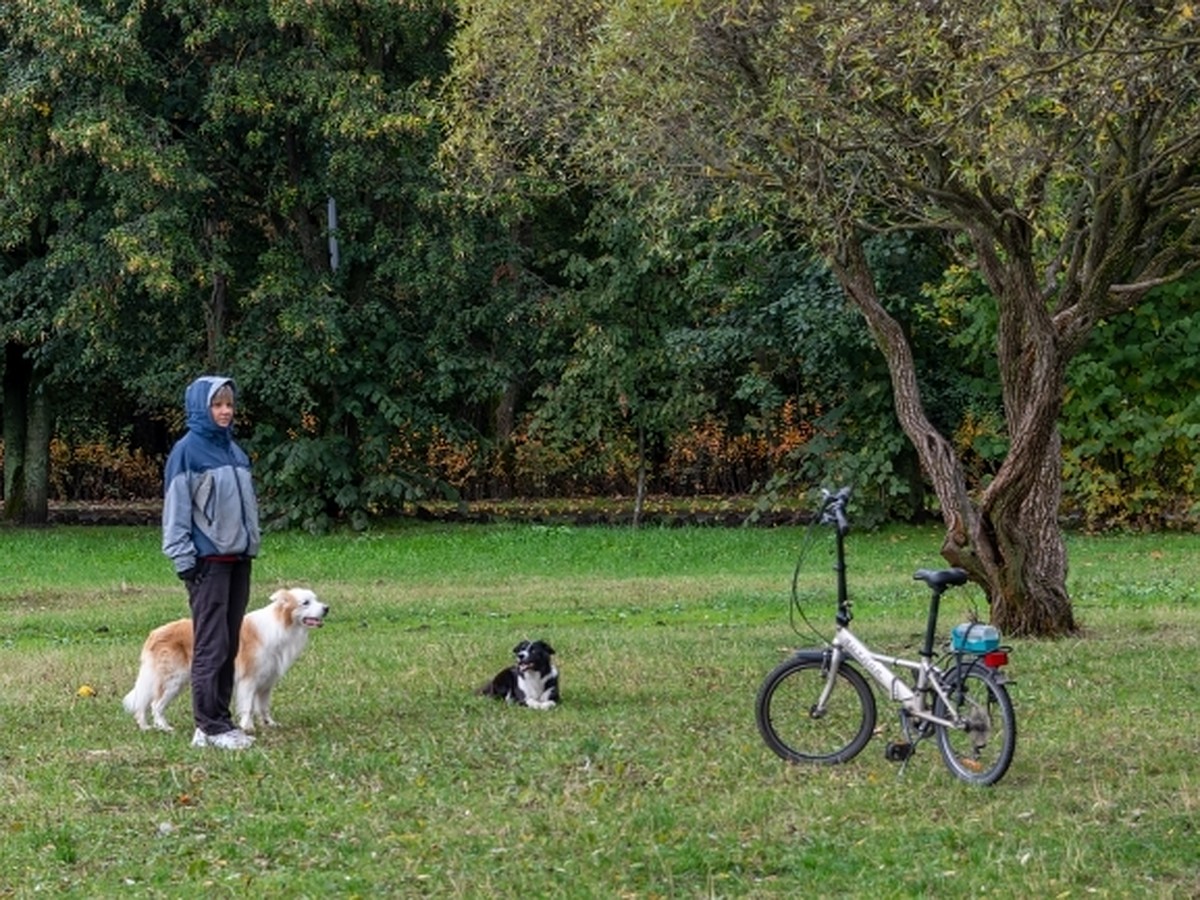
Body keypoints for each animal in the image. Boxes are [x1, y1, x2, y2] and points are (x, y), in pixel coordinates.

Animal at [123, 592, 328, 734]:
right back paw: (165, 728)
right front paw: (248, 727)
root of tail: (155, 633)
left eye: (316, 599)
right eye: (306, 602)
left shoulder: (266, 683)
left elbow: (263, 707)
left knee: (143, 704)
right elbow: (248, 706)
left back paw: (145, 727)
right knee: (156, 705)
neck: (280, 624)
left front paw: (269, 724)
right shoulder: (249, 680)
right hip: (174, 680)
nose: (327, 608)